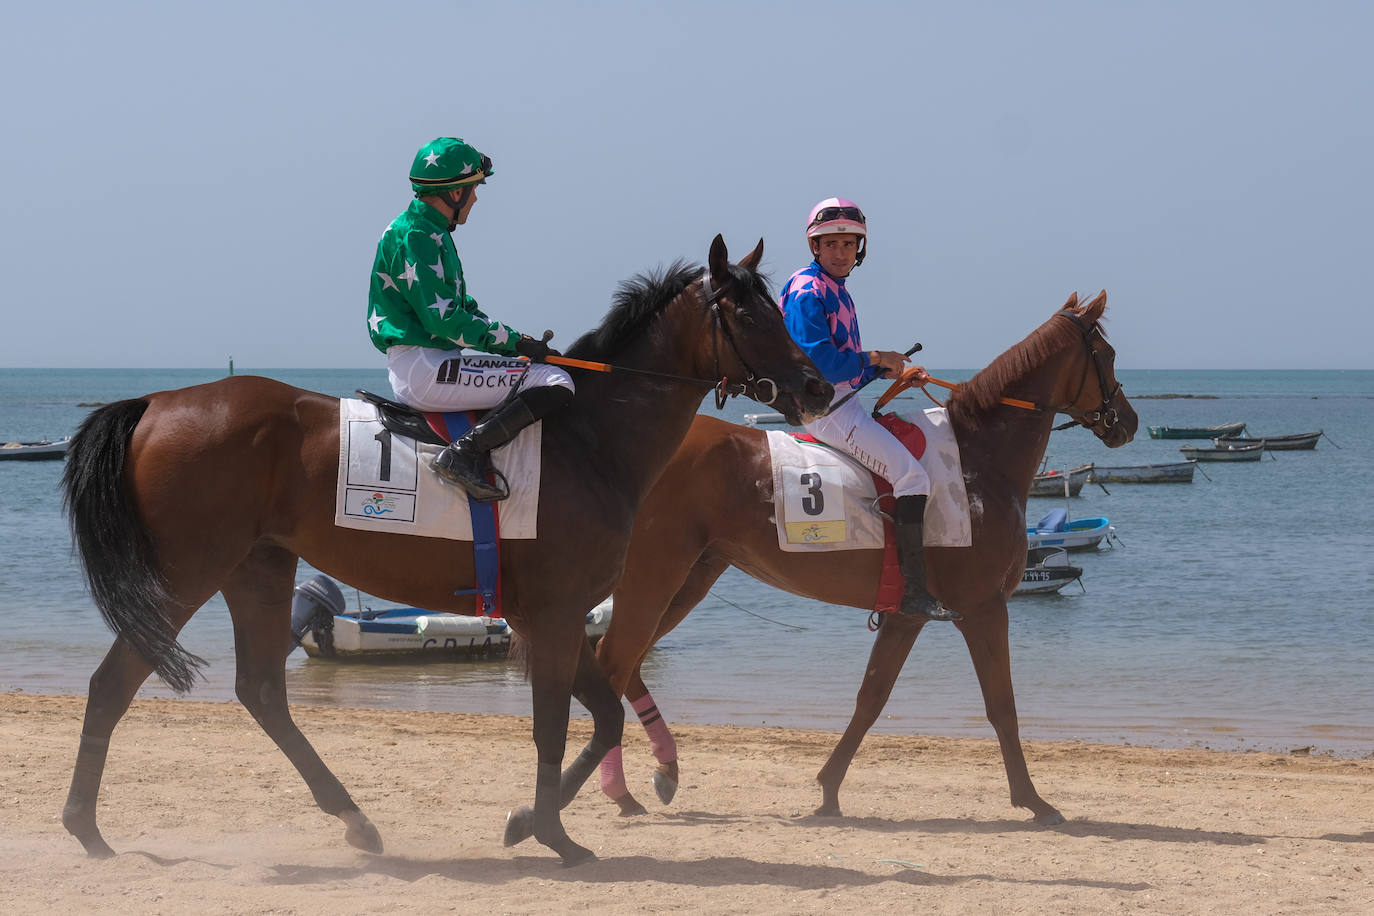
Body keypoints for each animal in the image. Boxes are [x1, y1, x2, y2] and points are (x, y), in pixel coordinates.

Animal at [59, 235, 834, 866]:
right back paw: (86, 830)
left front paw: (528, 822)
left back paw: (354, 821)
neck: (591, 438)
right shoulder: (554, 614)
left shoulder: (548, 616)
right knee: (113, 685)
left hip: (258, 566)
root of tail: (157, 402)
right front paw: (553, 835)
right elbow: (553, 726)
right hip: (187, 572)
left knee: (261, 691)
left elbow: (602, 716)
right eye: (754, 315)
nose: (818, 385)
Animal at [593, 291, 1138, 824]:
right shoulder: (984, 609)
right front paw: (1033, 800)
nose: (1129, 422)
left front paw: (828, 790)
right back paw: (618, 791)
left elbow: (870, 698)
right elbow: (1001, 705)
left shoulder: (906, 615)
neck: (976, 459)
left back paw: (663, 771)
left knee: (629, 663)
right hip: (655, 575)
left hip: (690, 578)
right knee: (614, 662)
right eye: (1107, 354)